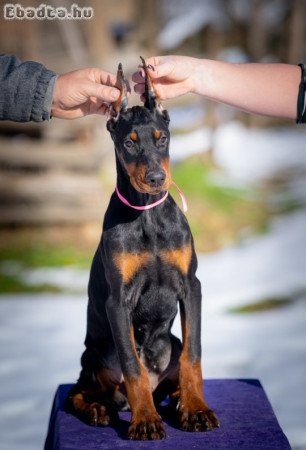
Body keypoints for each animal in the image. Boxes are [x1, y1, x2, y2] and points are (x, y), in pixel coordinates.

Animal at [67, 59, 220, 440]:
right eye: (129, 143)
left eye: (162, 138)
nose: (155, 179)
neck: (148, 214)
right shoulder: (118, 301)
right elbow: (132, 367)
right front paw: (146, 420)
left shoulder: (190, 286)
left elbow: (193, 356)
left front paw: (196, 409)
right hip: (95, 355)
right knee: (79, 391)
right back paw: (97, 410)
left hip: (169, 343)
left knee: (175, 366)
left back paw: (178, 400)